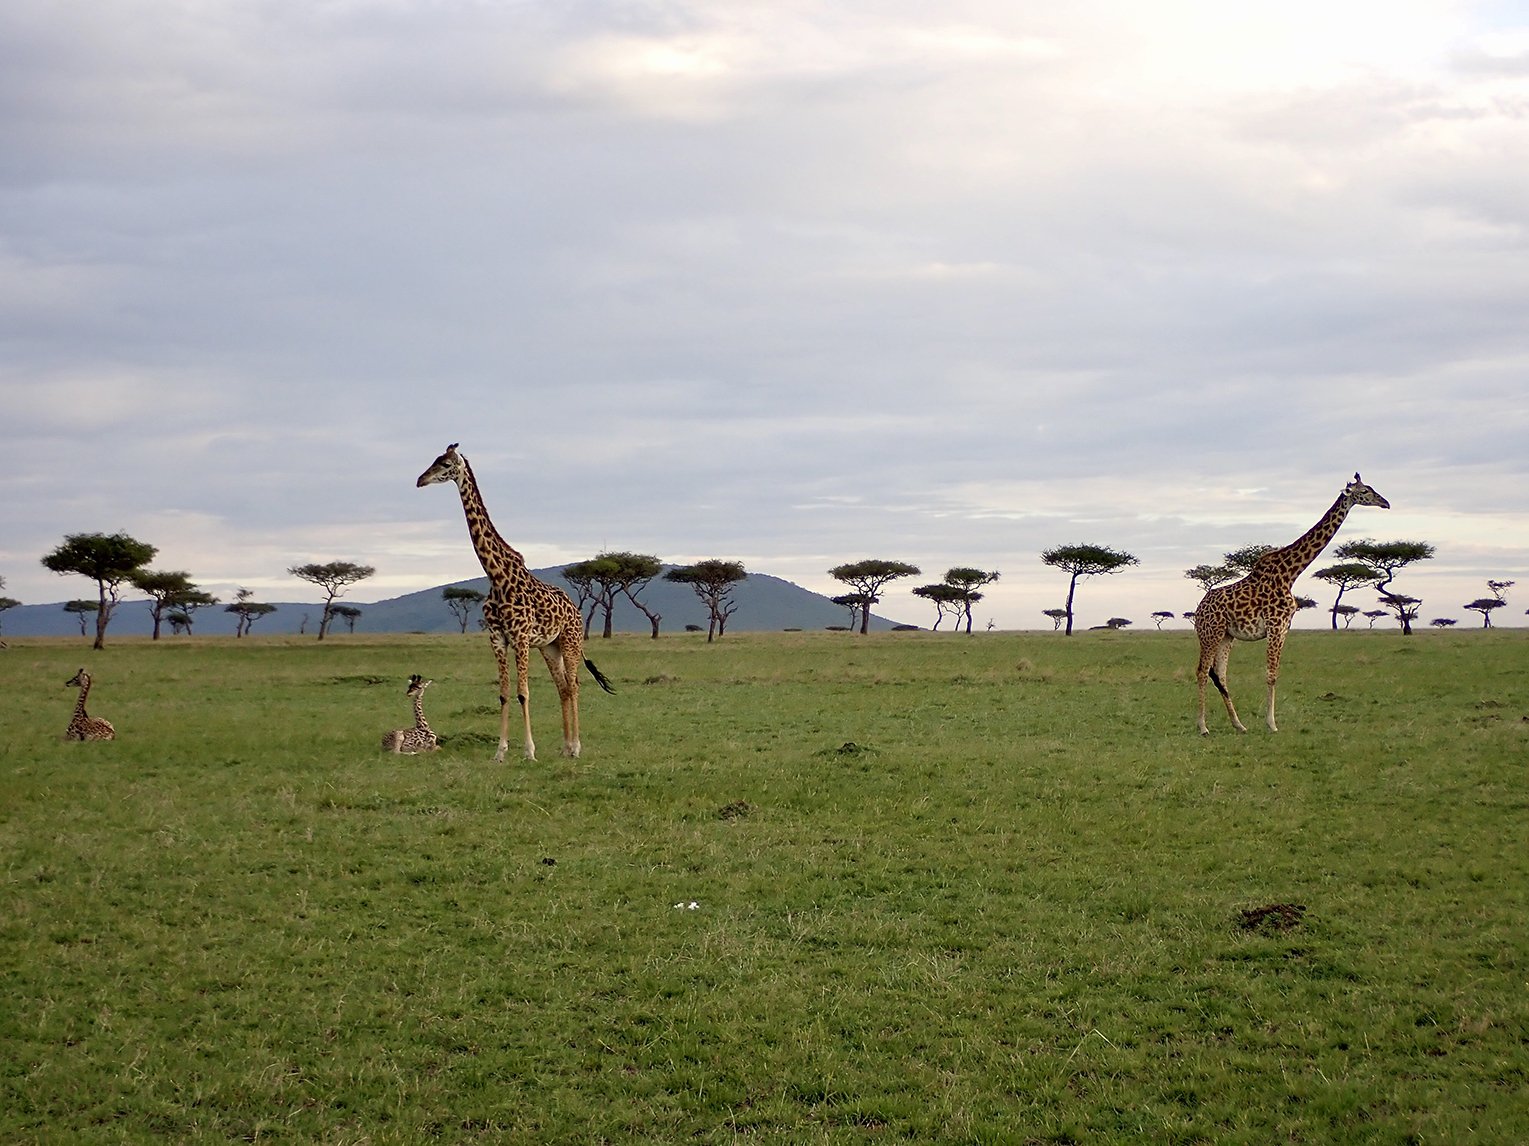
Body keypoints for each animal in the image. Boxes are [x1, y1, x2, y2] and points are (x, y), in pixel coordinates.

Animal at [418, 446, 614, 764]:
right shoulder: (497, 638)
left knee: (573, 685)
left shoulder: (520, 638)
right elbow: (504, 693)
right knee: (562, 687)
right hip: (549, 647)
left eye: (445, 464)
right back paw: (565, 746)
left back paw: (575, 747)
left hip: (570, 641)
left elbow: (524, 693)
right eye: (433, 461)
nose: (420, 480)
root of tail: (576, 610)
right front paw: (500, 752)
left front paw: (529, 751)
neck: (496, 576)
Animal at [1186, 473, 1394, 736]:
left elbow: (1274, 673)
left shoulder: (1285, 627)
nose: (1386, 503)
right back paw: (1203, 726)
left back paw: (1238, 724)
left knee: (1220, 675)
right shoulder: (1276, 625)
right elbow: (1271, 674)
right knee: (1202, 672)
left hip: (1226, 636)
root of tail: (1199, 608)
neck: (1290, 574)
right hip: (1210, 633)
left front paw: (1268, 722)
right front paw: (1272, 724)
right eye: (1365, 491)